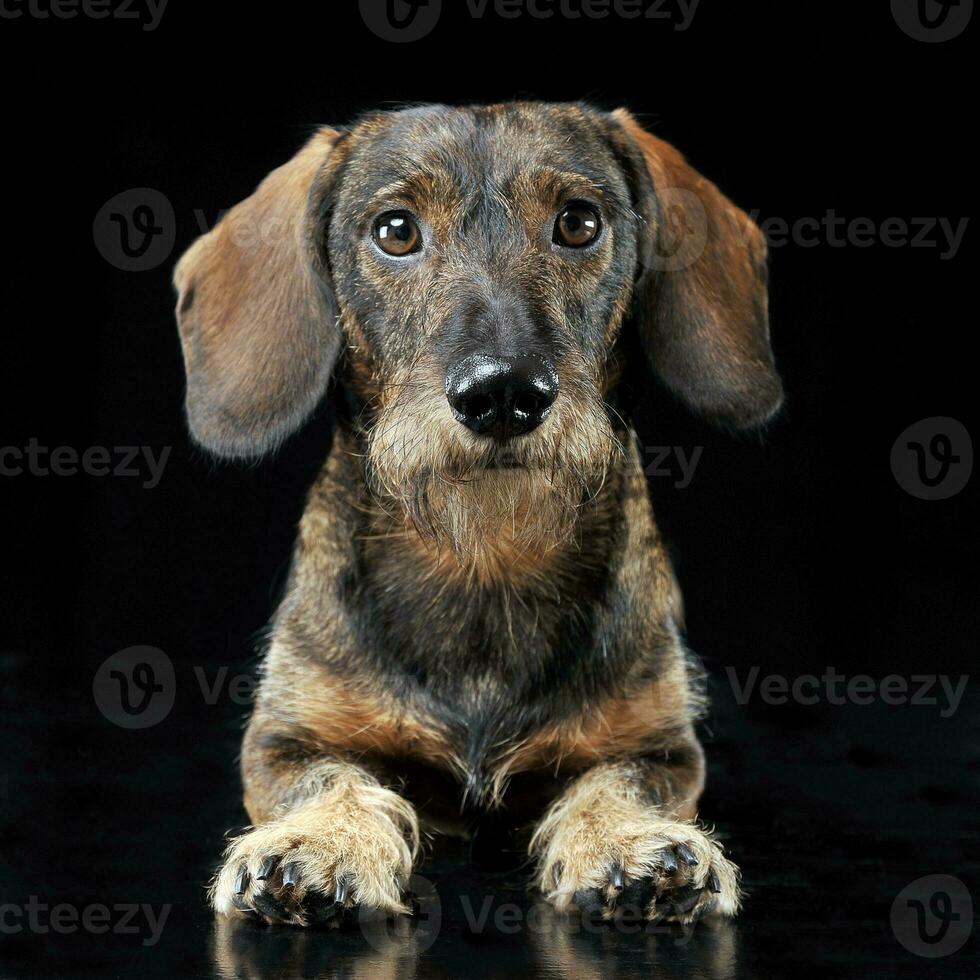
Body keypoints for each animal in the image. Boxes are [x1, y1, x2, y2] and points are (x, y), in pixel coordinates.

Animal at [170, 99, 780, 928]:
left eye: (578, 223)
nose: (503, 393)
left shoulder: (658, 745)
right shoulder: (286, 738)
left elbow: (615, 782)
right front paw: (317, 843)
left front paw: (635, 843)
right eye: (396, 231)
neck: (485, 550)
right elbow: (331, 778)